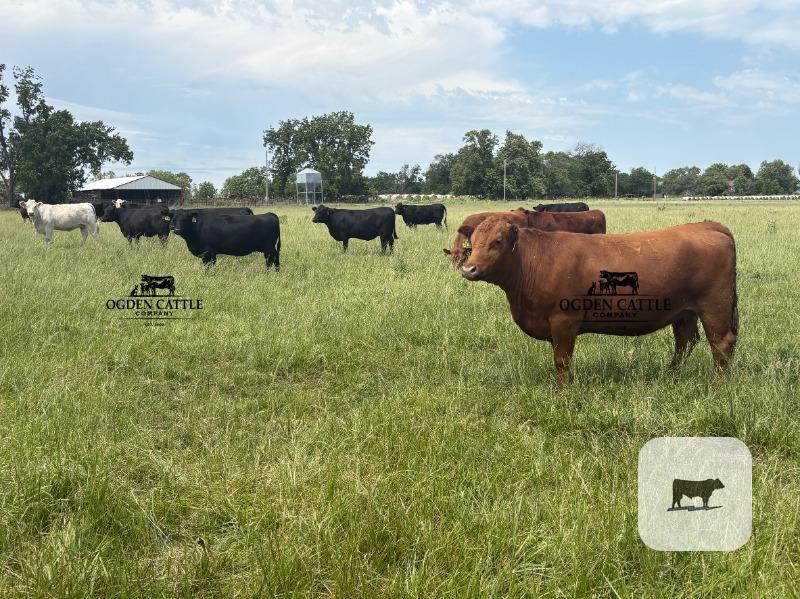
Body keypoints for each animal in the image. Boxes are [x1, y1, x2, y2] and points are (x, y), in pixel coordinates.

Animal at [458, 216, 738, 389]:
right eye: (472, 243)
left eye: (497, 242)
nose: (469, 269)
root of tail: (707, 226)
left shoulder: (564, 320)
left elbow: (562, 360)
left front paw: (562, 393)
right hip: (684, 311)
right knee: (685, 342)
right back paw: (670, 375)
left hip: (714, 306)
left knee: (721, 343)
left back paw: (717, 387)